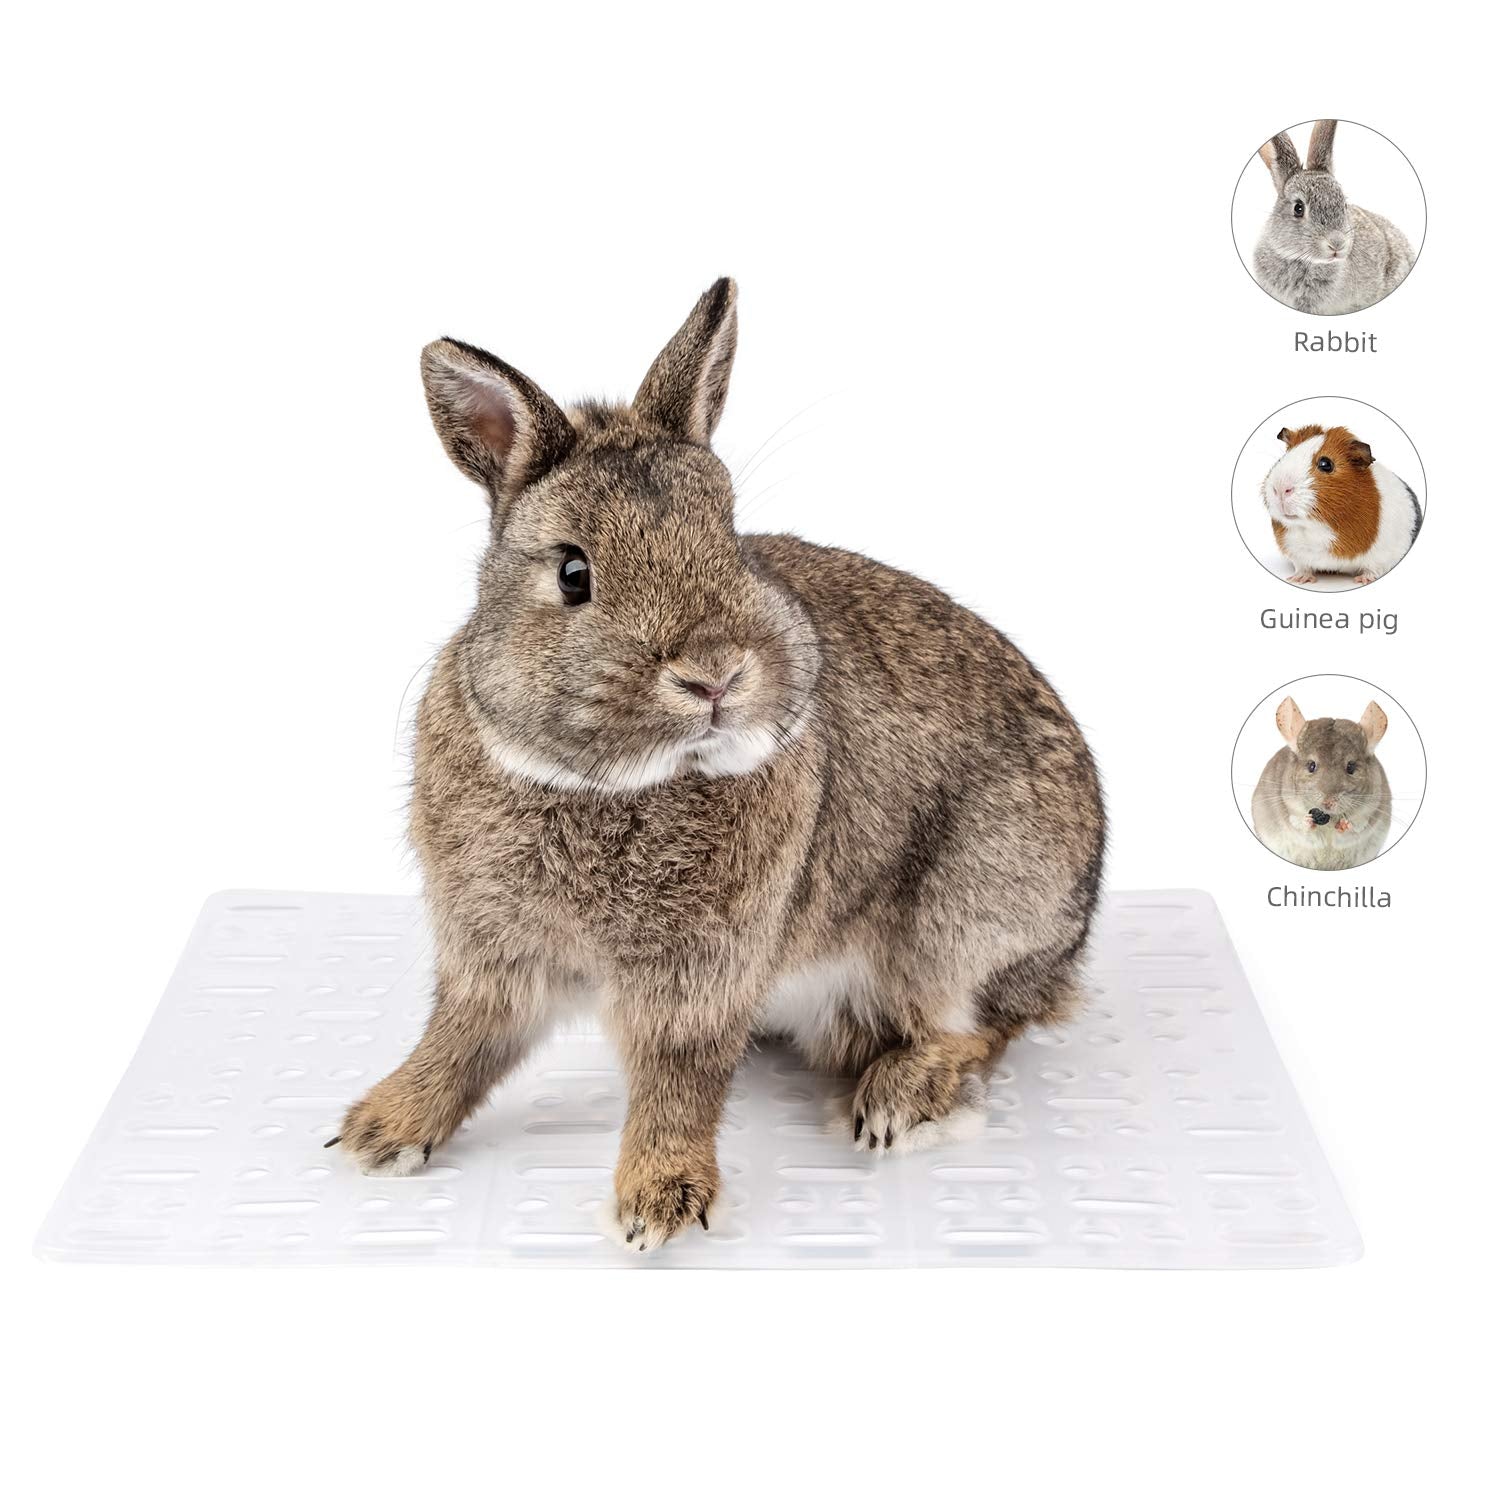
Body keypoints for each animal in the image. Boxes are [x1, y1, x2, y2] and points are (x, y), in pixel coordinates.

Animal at [330, 278, 1106, 1250]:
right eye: (574, 574)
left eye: (729, 542)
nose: (716, 674)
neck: (610, 784)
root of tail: (1071, 940)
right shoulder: (495, 955)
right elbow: (462, 1042)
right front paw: (381, 1130)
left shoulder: (700, 977)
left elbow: (678, 1081)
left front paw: (658, 1202)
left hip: (969, 916)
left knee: (976, 1027)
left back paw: (896, 1100)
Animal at [1251, 696, 1391, 870]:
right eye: (1311, 766)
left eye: (1351, 767)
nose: (1328, 802)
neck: (1329, 819)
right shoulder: (1289, 808)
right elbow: (1299, 825)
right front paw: (1308, 820)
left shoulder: (1369, 812)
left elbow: (1355, 828)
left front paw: (1345, 824)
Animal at [1262, 423, 1422, 585]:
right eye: (1282, 458)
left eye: (1325, 464)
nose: (1280, 488)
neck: (1315, 530)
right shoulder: (1297, 554)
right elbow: (1302, 567)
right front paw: (1298, 579)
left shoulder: (1383, 555)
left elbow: (1373, 569)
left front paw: (1363, 580)